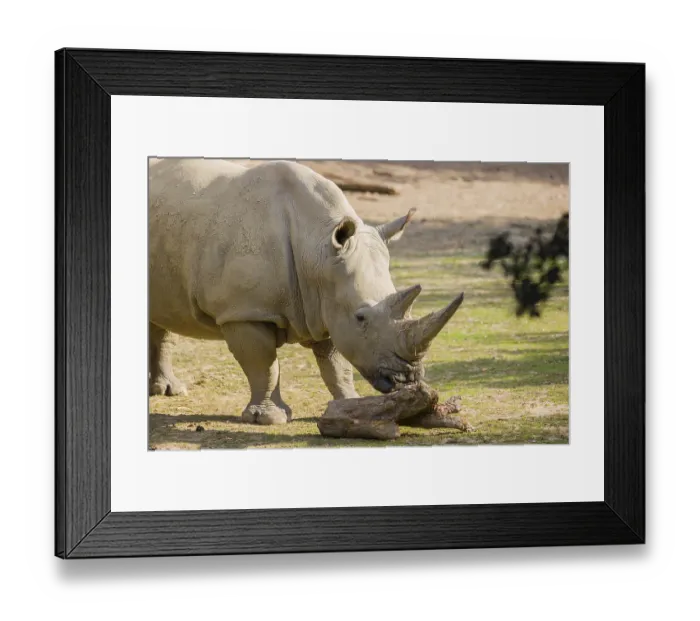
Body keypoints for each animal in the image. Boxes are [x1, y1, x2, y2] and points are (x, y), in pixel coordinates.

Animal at [148, 158, 463, 425]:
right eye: (361, 317)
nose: (408, 378)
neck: (317, 250)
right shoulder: (244, 310)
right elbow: (264, 364)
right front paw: (269, 418)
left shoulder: (328, 303)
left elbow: (337, 366)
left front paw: (352, 405)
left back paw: (168, 391)